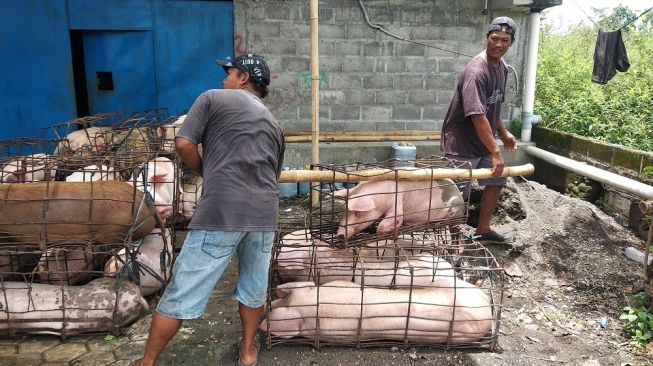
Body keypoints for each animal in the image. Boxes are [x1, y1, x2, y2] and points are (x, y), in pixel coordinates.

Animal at [334, 179, 466, 239]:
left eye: (357, 213)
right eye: (345, 211)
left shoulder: (397, 200)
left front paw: (389, 230)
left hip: (455, 210)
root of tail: (459, 193)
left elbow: (395, 218)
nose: (339, 235)